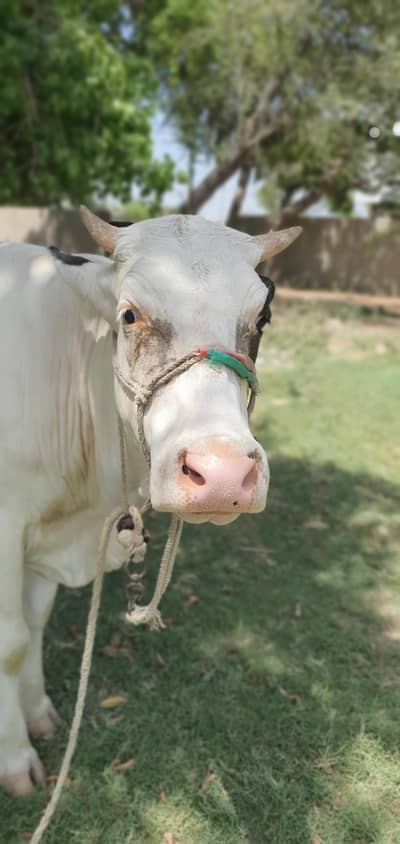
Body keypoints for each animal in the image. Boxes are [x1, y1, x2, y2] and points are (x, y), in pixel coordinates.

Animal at [0, 209, 301, 795]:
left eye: (261, 318)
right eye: (129, 314)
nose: (223, 473)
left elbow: (36, 621)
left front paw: (39, 713)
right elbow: (11, 642)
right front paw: (15, 758)